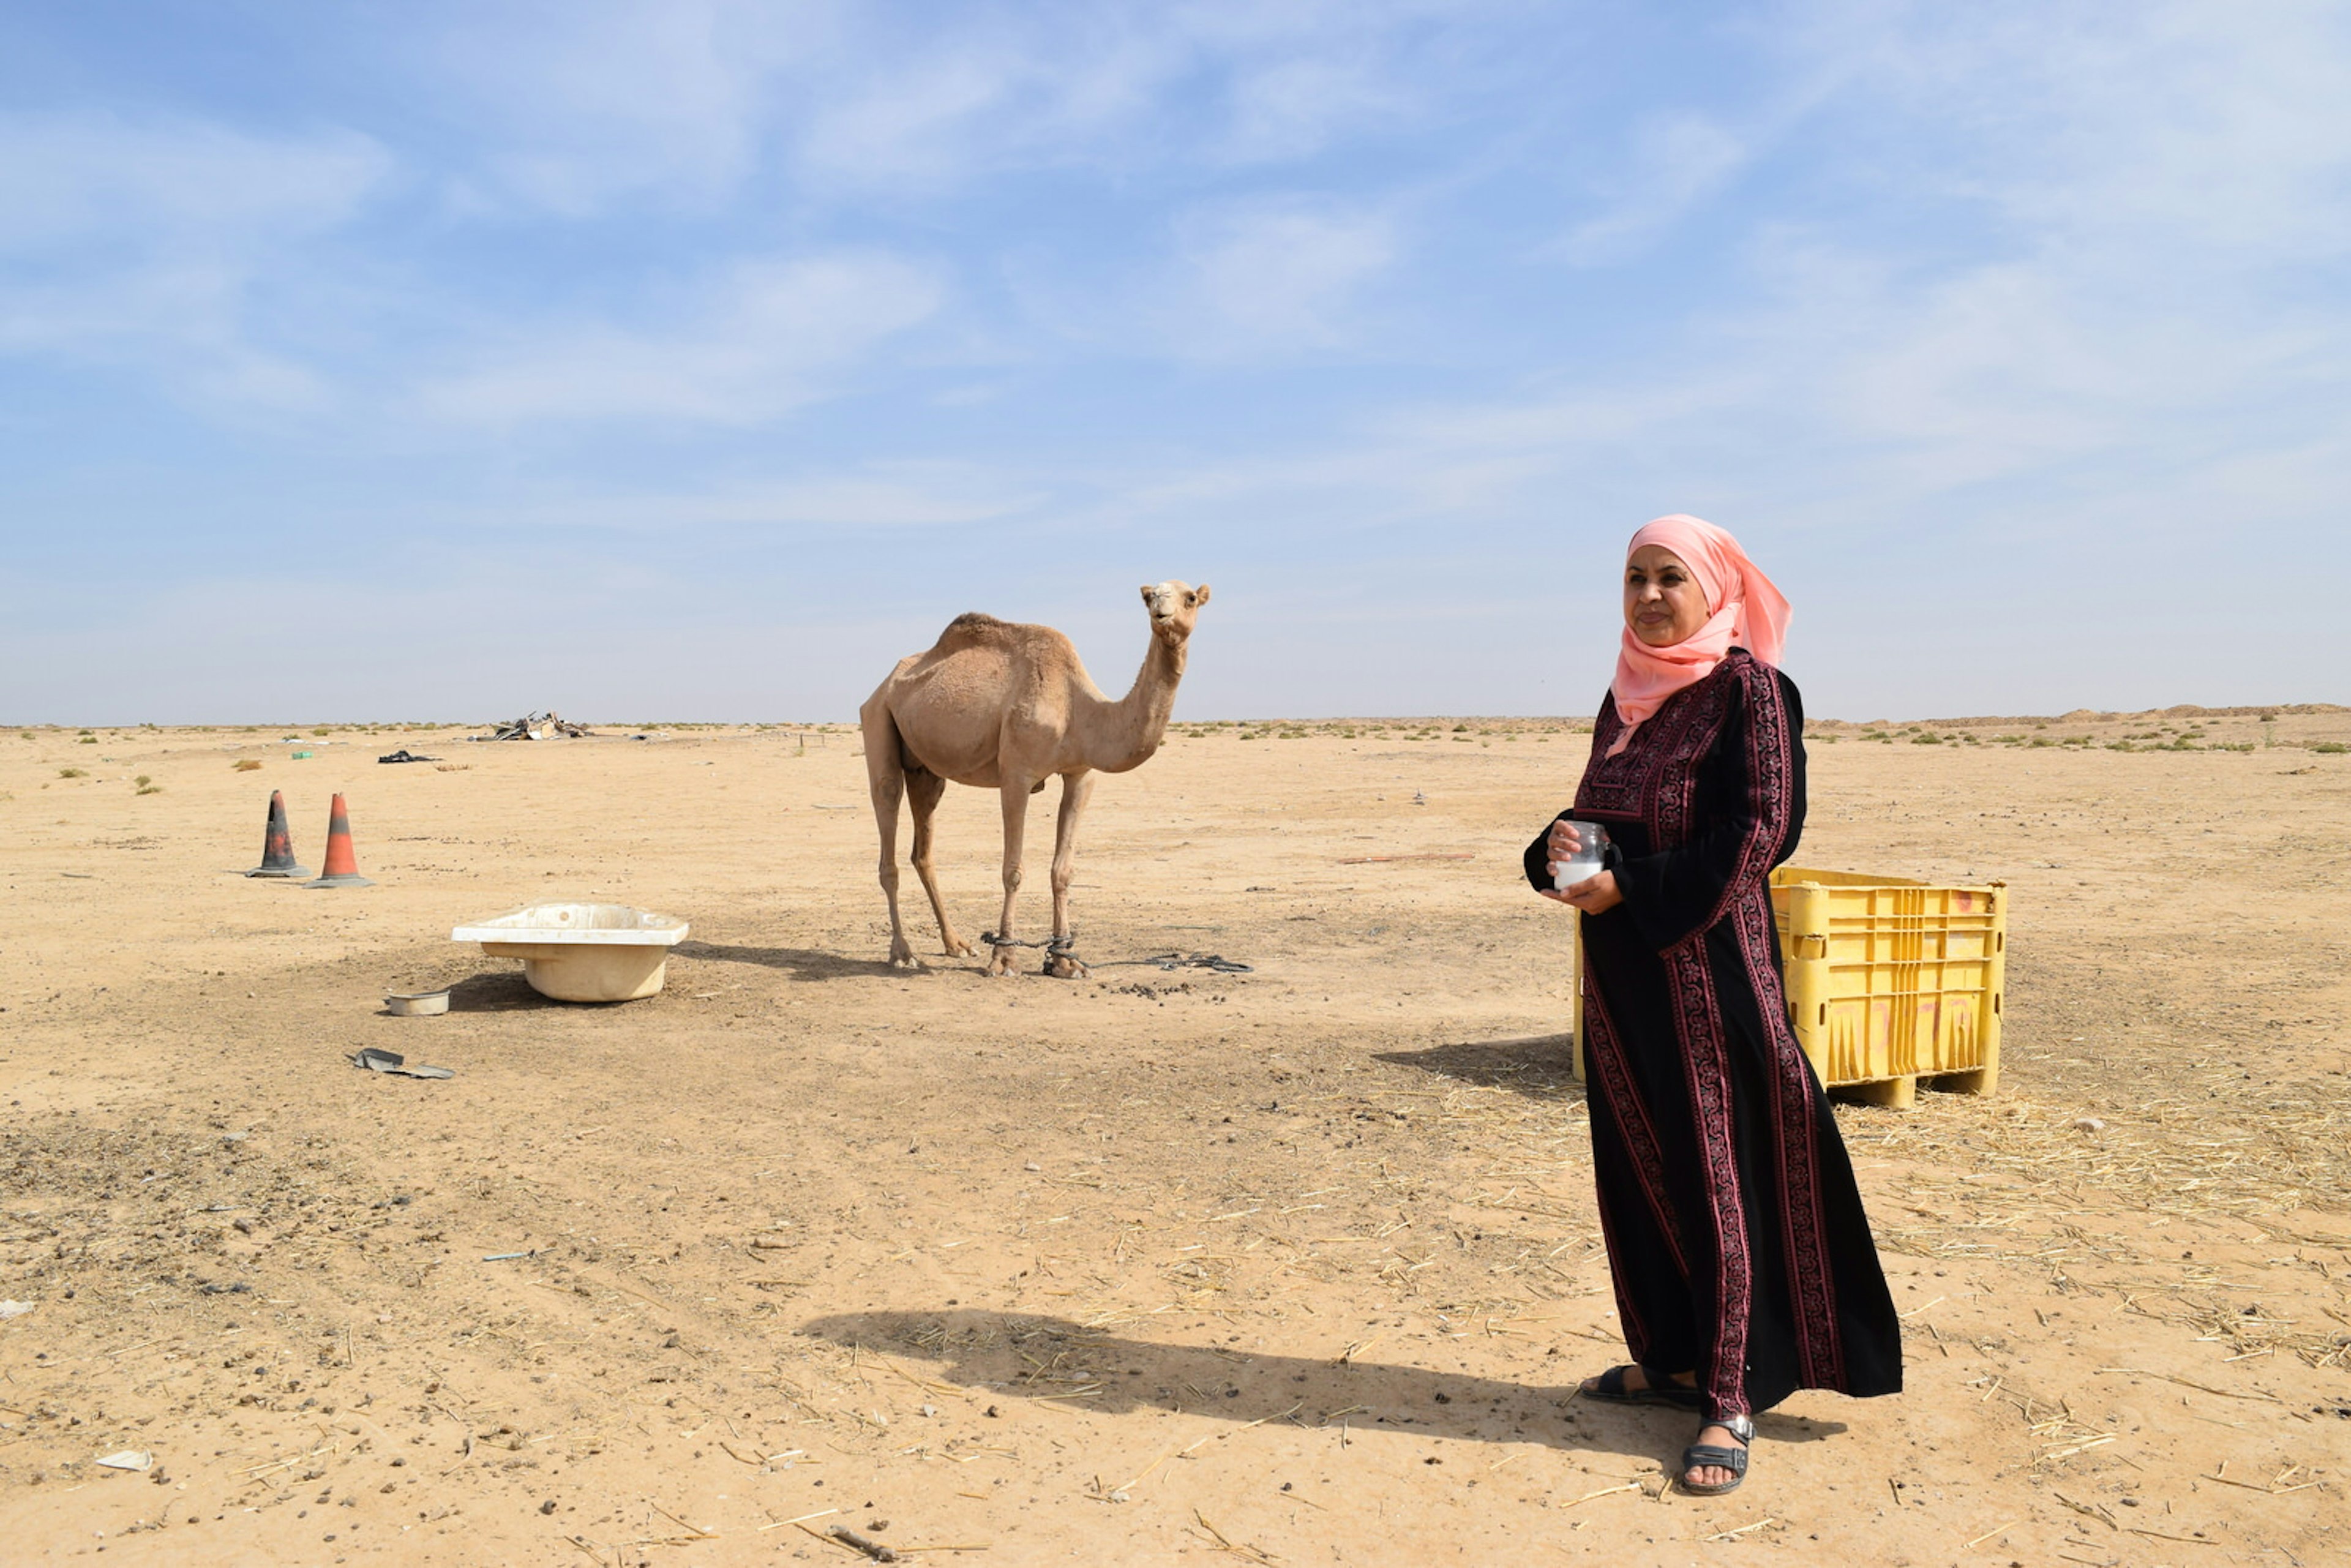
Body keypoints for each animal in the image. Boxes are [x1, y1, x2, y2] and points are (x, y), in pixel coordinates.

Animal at [860, 583, 1213, 973]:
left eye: (1190, 597)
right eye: (1150, 596)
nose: (1161, 610)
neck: (1078, 709)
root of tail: (885, 683)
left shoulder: (1081, 775)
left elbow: (1063, 870)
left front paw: (1064, 961)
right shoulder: (1017, 774)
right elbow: (1013, 870)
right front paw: (1004, 958)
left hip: (926, 770)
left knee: (923, 850)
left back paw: (957, 944)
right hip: (878, 717)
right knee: (887, 815)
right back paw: (902, 952)